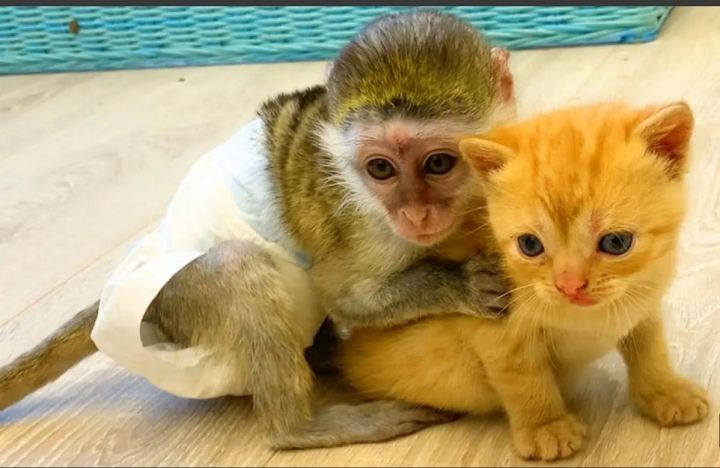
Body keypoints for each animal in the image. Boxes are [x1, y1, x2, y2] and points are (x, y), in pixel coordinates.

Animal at [0, 10, 517, 449]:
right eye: (381, 169)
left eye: (438, 164)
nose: (415, 215)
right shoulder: (371, 227)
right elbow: (344, 297)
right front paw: (461, 284)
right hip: (179, 303)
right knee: (234, 265)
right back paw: (298, 429)